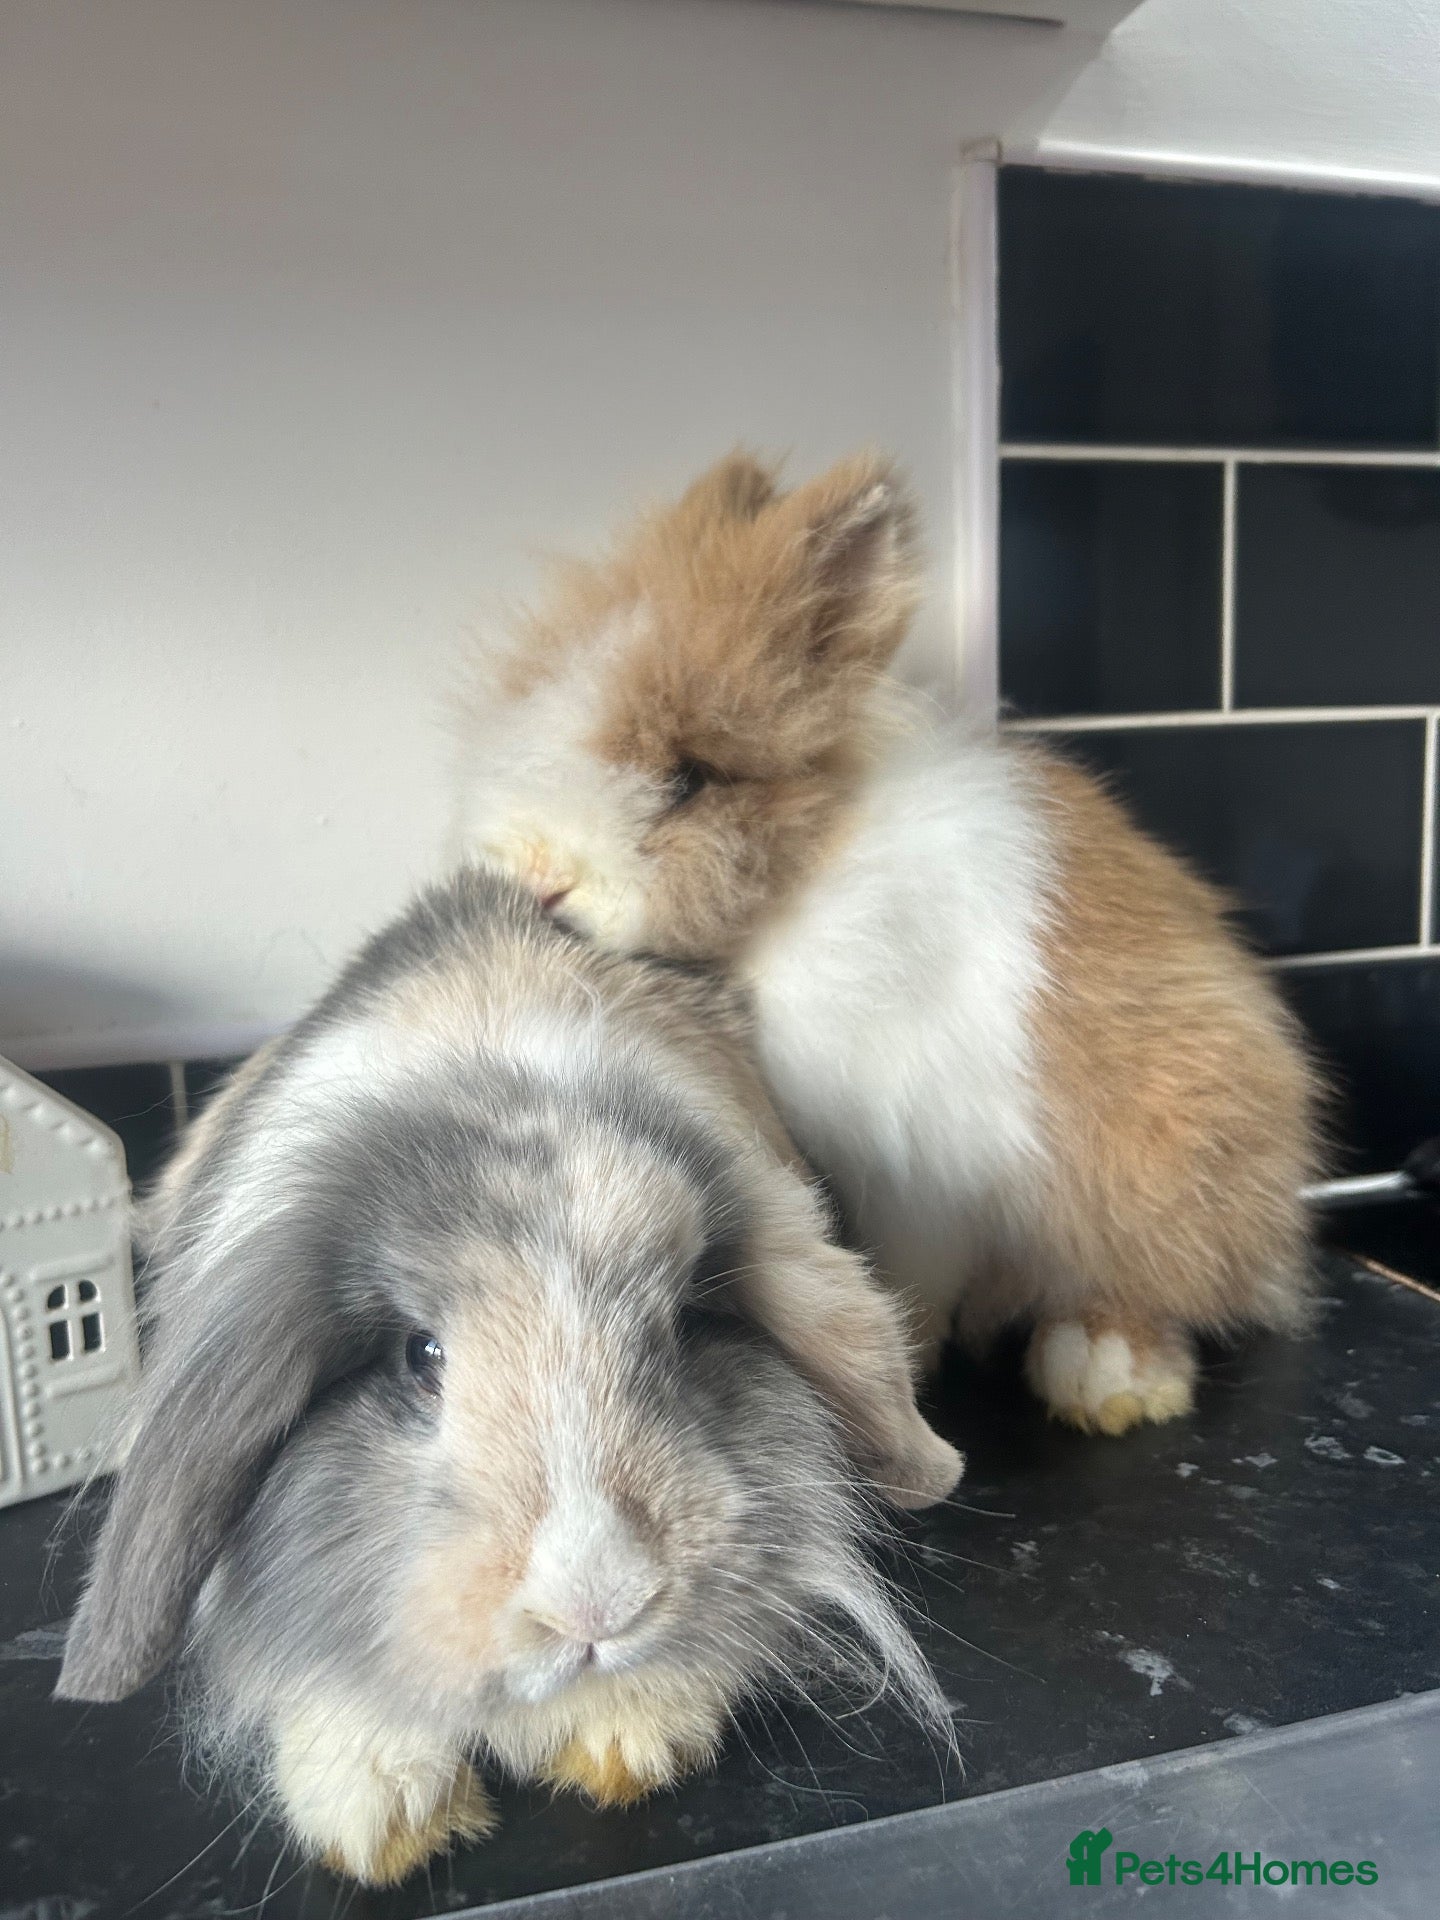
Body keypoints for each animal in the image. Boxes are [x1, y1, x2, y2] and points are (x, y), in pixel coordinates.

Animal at [452, 451, 1323, 1440]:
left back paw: (1107, 1376)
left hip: (1167, 1160)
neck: (800, 882)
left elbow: (913, 1267)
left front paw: (902, 1352)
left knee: (1161, 1286)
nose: (537, 876)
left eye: (687, 780)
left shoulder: (921, 1161)